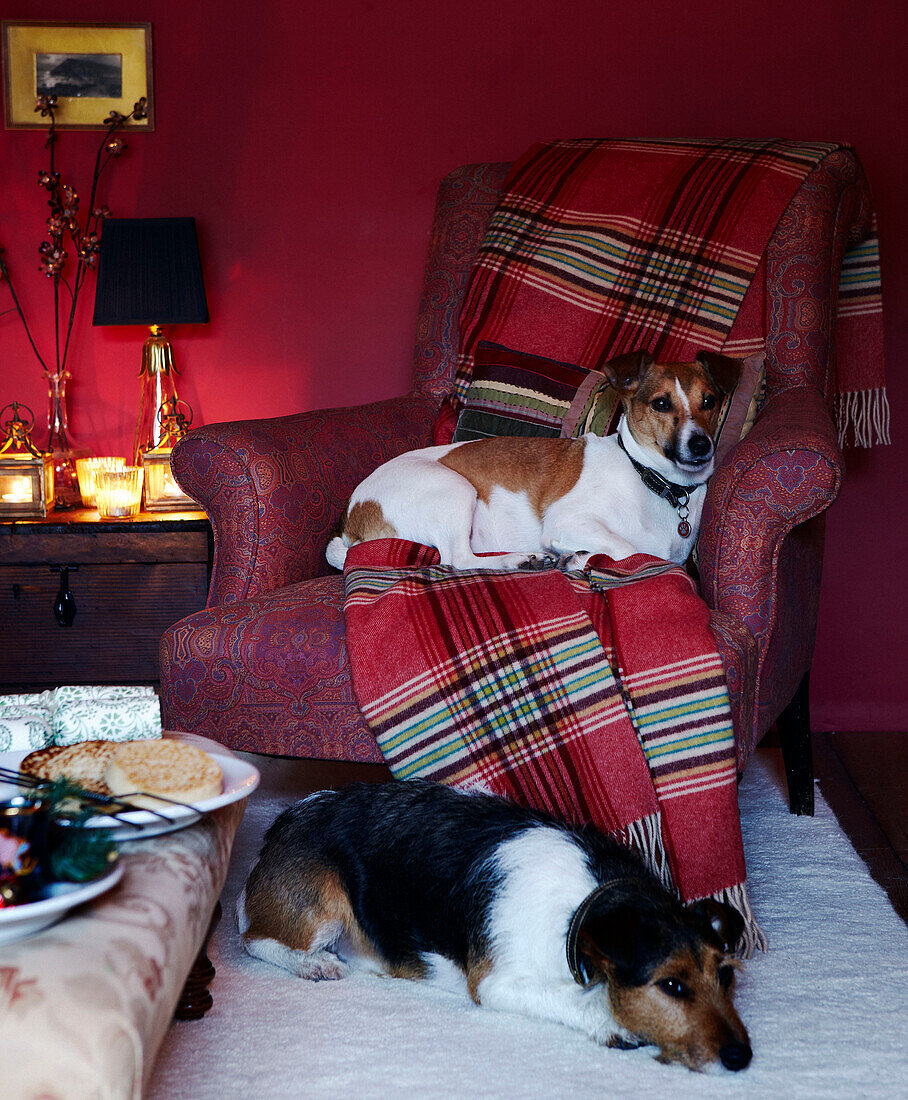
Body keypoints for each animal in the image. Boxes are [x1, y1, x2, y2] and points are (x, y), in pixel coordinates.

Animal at [325, 349, 744, 576]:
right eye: (660, 403)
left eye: (709, 401)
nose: (702, 445)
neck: (653, 482)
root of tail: (350, 520)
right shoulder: (568, 520)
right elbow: (632, 550)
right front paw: (579, 558)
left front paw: (578, 558)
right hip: (454, 488)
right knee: (458, 559)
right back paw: (521, 560)